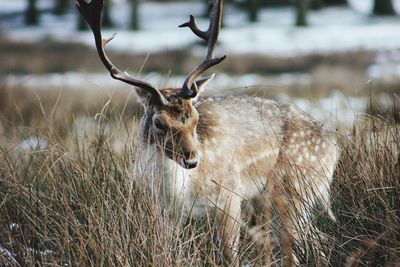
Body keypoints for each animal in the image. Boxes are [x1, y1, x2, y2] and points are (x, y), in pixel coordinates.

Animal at [76, 1, 340, 266]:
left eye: (195, 119)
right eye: (159, 123)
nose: (192, 160)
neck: (180, 190)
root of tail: (333, 146)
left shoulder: (229, 193)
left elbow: (229, 254)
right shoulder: (162, 210)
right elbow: (166, 250)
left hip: (293, 189)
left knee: (299, 246)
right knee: (317, 240)